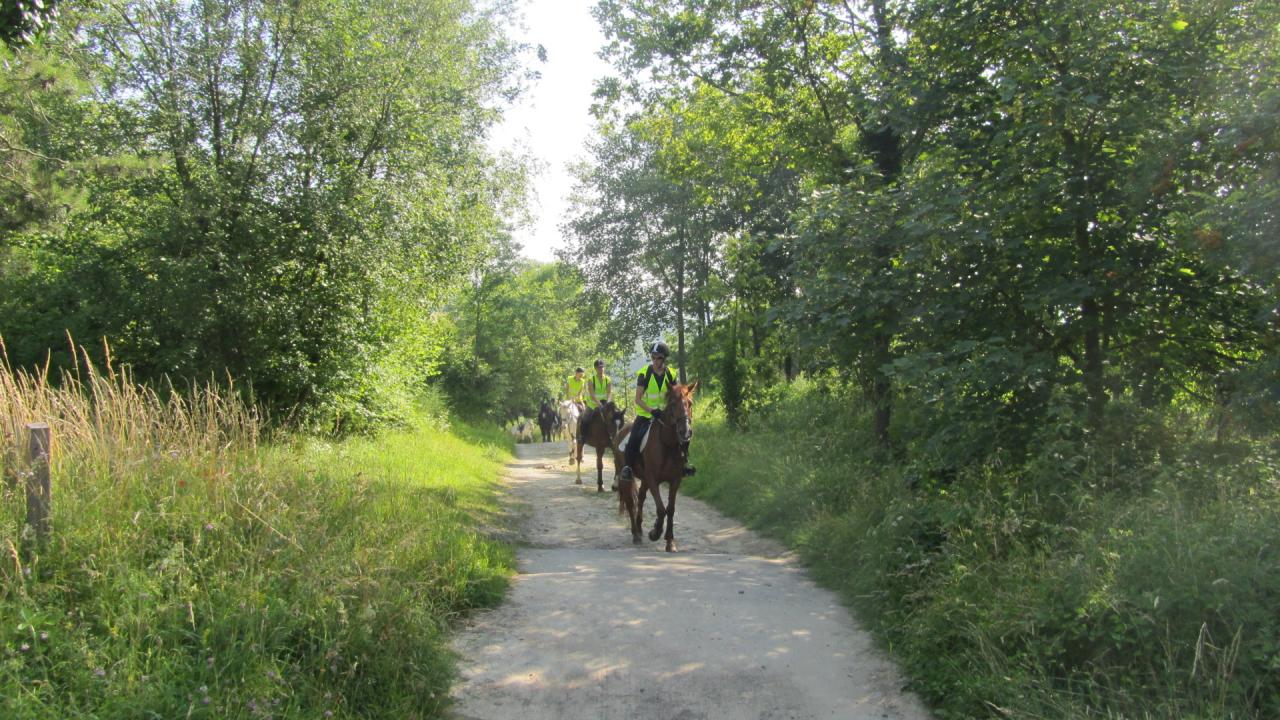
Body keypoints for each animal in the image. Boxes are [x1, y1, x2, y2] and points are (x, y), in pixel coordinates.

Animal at [619, 381, 701, 548]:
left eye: (690, 403)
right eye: (672, 404)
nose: (685, 432)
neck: (667, 444)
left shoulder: (675, 480)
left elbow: (670, 509)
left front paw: (670, 541)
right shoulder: (653, 480)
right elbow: (661, 509)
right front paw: (655, 532)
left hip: (644, 479)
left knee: (641, 498)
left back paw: (639, 528)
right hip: (627, 477)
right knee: (630, 503)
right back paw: (635, 534)